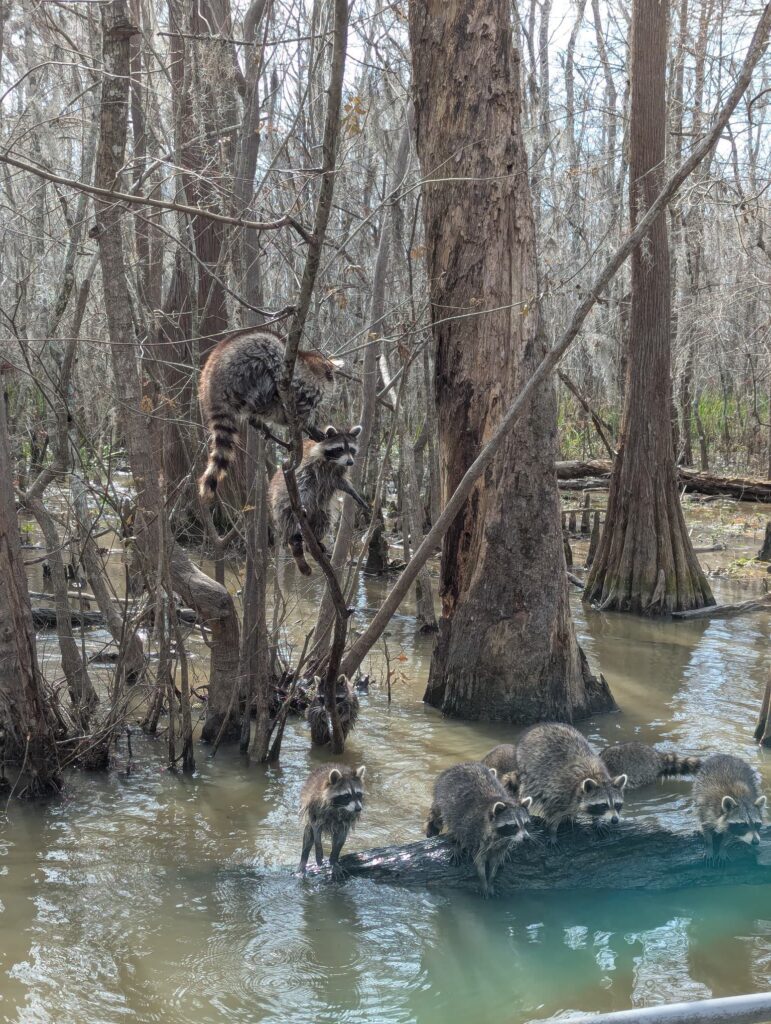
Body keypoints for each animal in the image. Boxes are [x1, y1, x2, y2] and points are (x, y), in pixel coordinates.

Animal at [198, 328, 343, 500]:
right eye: (331, 377)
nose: (335, 386)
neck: (313, 363)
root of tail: (211, 384)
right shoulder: (305, 386)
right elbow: (302, 408)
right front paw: (310, 426)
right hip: (246, 367)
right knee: (272, 355)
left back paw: (257, 422)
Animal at [269, 425, 368, 575]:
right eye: (339, 449)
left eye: (351, 449)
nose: (350, 462)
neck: (332, 461)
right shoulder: (305, 466)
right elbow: (302, 484)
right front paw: (303, 503)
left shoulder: (336, 473)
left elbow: (341, 483)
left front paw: (353, 492)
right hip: (283, 509)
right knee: (292, 514)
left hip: (320, 511)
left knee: (325, 519)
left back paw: (315, 540)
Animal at [425, 762, 531, 896]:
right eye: (513, 826)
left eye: (525, 824)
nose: (527, 838)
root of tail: (458, 766)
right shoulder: (475, 833)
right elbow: (479, 860)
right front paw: (483, 881)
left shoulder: (502, 845)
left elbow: (495, 862)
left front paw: (491, 880)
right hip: (448, 804)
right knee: (453, 823)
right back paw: (456, 843)